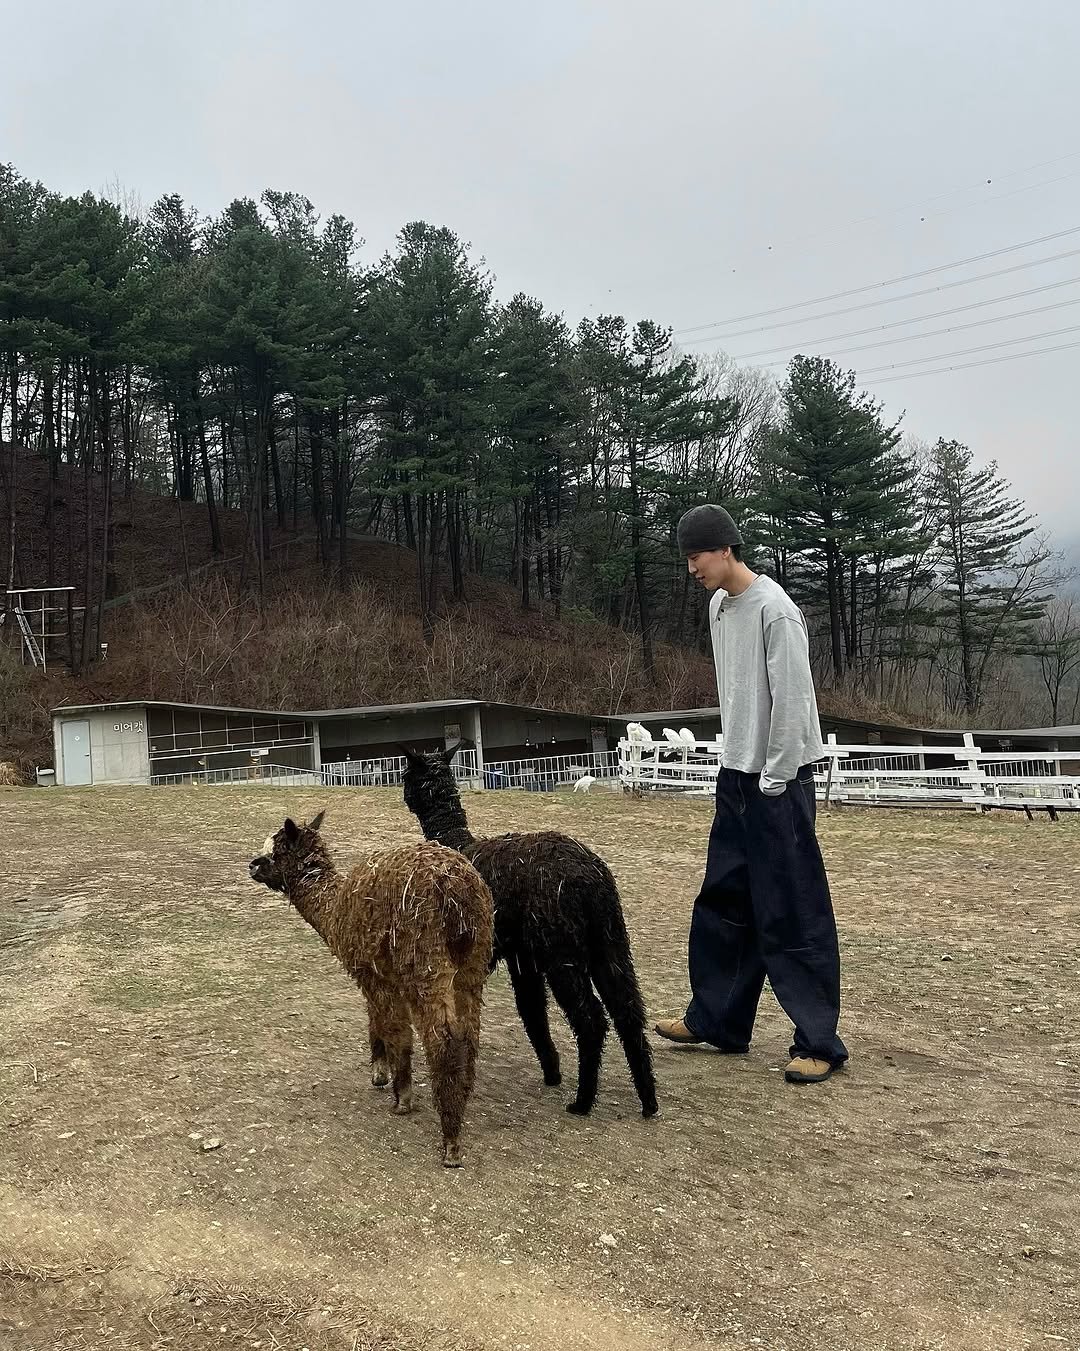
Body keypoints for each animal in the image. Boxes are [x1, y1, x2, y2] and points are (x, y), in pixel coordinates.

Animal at [248, 811, 494, 1167]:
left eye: (276, 851)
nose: (252, 865)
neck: (334, 909)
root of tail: (456, 889)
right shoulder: (381, 974)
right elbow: (377, 1020)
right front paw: (382, 1072)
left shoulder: (374, 974)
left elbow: (395, 1030)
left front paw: (399, 1094)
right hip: (473, 961)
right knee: (469, 1034)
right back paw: (462, 1097)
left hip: (424, 960)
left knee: (444, 1040)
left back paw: (450, 1140)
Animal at [400, 746, 658, 1119]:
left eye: (407, 774)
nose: (402, 790)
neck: (456, 845)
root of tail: (589, 877)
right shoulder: (522, 959)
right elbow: (532, 1010)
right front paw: (552, 1072)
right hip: (609, 941)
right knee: (628, 1010)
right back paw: (648, 1100)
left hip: (562, 951)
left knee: (591, 1019)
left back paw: (583, 1101)